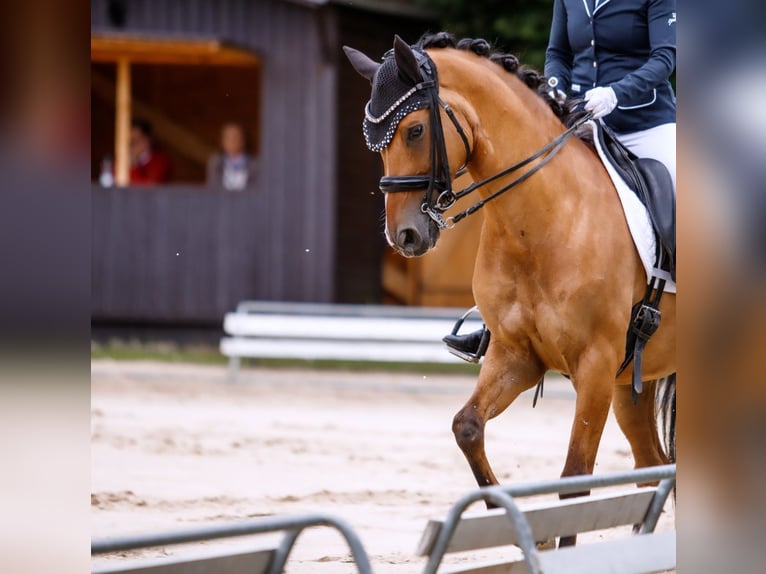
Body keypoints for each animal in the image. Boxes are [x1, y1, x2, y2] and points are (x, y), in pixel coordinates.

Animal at [348, 32, 680, 540]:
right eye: (373, 140)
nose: (404, 237)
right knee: (654, 469)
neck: (540, 221)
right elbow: (467, 427)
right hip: (632, 386)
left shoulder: (595, 364)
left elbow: (574, 482)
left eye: (416, 131)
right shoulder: (516, 354)